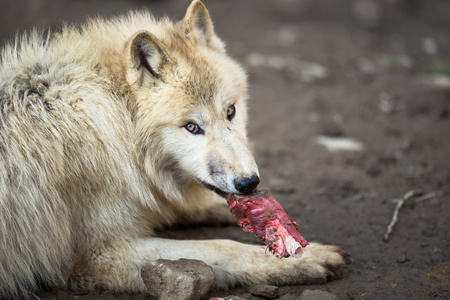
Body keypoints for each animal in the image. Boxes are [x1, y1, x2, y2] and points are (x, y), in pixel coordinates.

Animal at [0, 0, 350, 298]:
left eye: (231, 111)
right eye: (192, 127)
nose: (249, 183)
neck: (115, 121)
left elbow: (195, 204)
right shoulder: (100, 254)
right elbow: (221, 248)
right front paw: (303, 257)